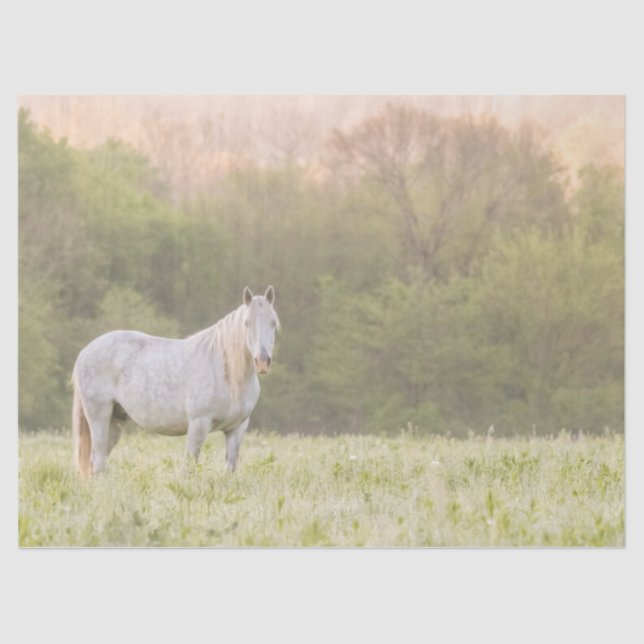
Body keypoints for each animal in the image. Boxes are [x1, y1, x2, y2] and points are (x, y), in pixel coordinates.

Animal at [71, 285, 280, 477]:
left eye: (273, 323)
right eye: (247, 323)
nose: (262, 362)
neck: (228, 374)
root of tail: (85, 351)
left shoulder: (237, 428)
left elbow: (230, 469)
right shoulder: (198, 424)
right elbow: (190, 467)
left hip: (116, 420)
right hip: (99, 416)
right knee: (98, 462)